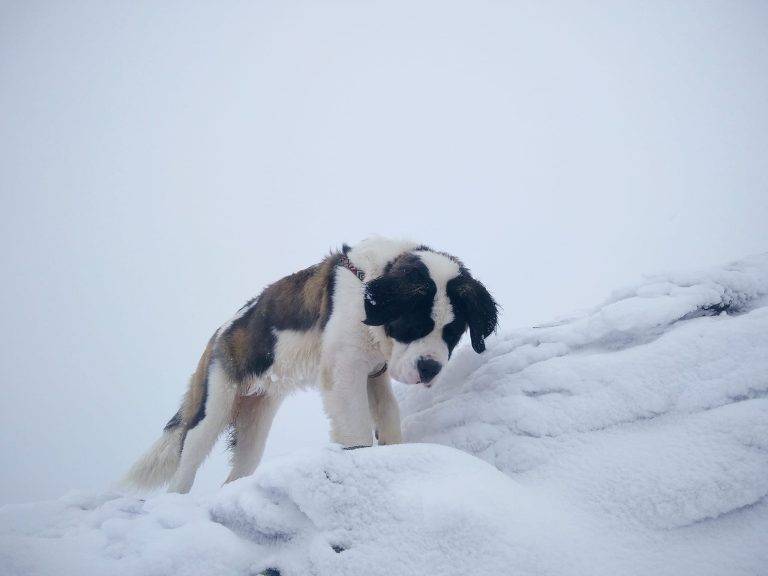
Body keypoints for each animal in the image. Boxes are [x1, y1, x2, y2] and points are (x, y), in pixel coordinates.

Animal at [124, 236, 498, 492]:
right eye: (413, 325)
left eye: (452, 333)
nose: (429, 369)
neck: (368, 288)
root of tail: (219, 332)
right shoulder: (345, 369)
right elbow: (357, 427)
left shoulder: (373, 374)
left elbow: (388, 415)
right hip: (213, 405)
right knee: (186, 466)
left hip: (255, 421)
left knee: (241, 466)